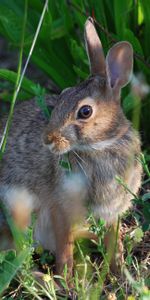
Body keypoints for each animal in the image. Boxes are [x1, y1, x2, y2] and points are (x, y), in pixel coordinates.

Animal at [0, 17, 142, 276]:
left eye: (85, 111)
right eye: (63, 95)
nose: (47, 139)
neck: (100, 146)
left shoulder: (112, 212)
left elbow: (112, 240)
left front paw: (118, 269)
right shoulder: (60, 207)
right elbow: (64, 247)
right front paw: (66, 277)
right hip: (17, 208)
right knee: (17, 257)